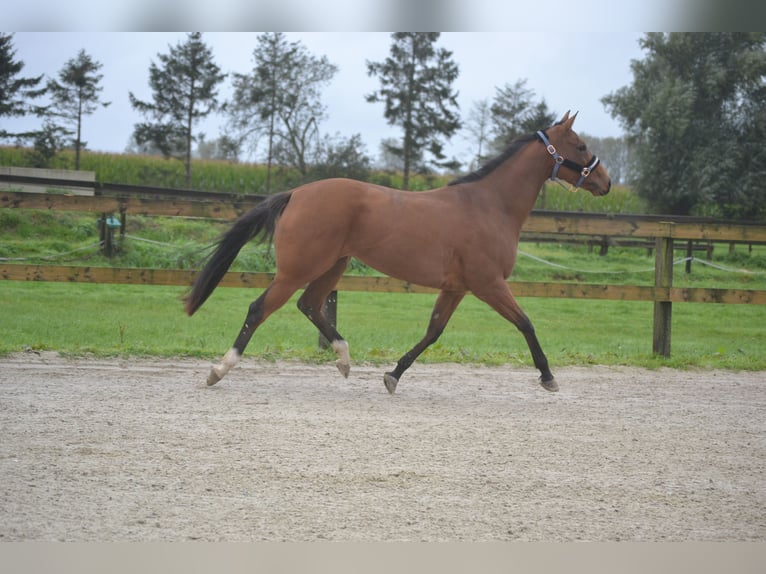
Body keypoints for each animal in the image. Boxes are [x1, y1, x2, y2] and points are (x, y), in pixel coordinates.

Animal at [184, 111, 612, 396]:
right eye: (580, 145)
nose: (606, 181)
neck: (490, 205)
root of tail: (296, 193)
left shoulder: (456, 288)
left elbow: (433, 333)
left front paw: (393, 375)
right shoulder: (488, 284)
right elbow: (526, 324)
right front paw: (548, 377)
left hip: (332, 266)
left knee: (310, 305)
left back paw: (344, 359)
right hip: (297, 269)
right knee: (260, 308)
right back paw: (219, 369)